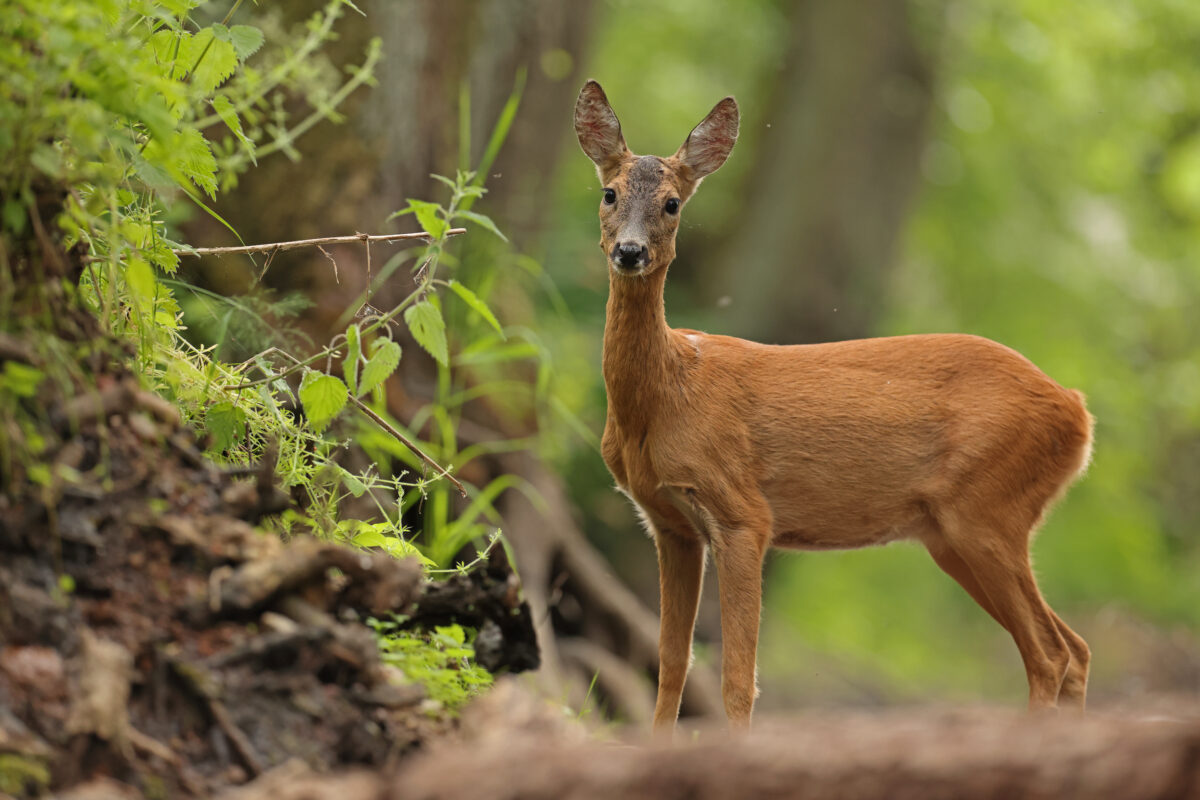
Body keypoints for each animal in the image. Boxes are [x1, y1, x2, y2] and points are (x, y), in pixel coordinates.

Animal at [573, 80, 1095, 731]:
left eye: (672, 204)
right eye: (609, 193)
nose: (630, 252)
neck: (668, 396)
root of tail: (1076, 409)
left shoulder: (744, 513)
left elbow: (739, 679)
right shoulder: (670, 524)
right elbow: (671, 663)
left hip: (989, 510)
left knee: (1050, 652)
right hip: (952, 534)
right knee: (1075, 648)